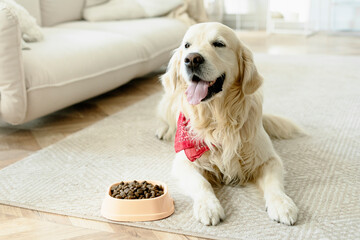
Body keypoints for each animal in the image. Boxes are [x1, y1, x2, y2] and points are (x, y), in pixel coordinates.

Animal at [156, 21, 302, 226]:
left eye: (219, 44)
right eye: (187, 45)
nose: (191, 59)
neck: (219, 119)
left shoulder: (269, 159)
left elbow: (274, 184)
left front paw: (282, 204)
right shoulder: (185, 161)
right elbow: (201, 183)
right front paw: (208, 207)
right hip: (169, 99)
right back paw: (164, 130)